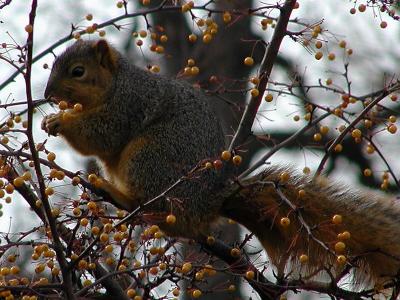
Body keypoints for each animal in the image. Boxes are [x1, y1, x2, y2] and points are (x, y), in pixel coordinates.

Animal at [43, 39, 400, 288]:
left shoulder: (127, 105)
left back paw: (120, 196)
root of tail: (209, 203)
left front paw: (60, 121)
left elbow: (102, 134)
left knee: (157, 209)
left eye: (78, 72)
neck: (115, 84)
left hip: (149, 159)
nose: (47, 96)